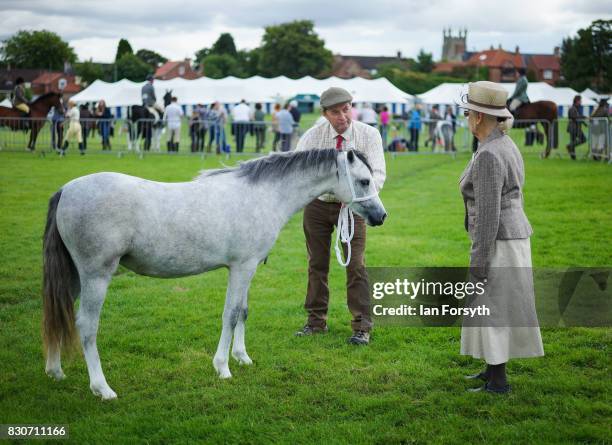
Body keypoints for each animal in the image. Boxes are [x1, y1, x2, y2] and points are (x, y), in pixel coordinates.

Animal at [43, 148, 388, 398]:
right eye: (364, 181)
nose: (381, 216)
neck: (263, 195)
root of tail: (65, 190)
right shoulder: (241, 267)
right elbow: (231, 314)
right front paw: (222, 367)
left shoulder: (247, 269)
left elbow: (243, 311)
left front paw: (242, 357)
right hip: (95, 276)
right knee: (86, 326)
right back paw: (102, 388)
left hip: (73, 277)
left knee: (57, 315)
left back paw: (55, 372)